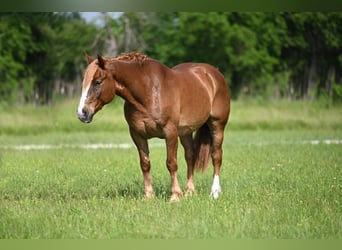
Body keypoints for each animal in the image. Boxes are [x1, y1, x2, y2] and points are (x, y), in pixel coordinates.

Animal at [77, 53, 231, 203]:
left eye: (97, 82)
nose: (82, 113)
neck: (149, 92)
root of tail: (214, 73)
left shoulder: (170, 132)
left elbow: (171, 163)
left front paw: (175, 195)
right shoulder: (137, 134)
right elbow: (145, 164)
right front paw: (148, 195)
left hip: (217, 125)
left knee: (216, 156)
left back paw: (214, 192)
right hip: (185, 132)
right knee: (190, 156)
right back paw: (190, 192)